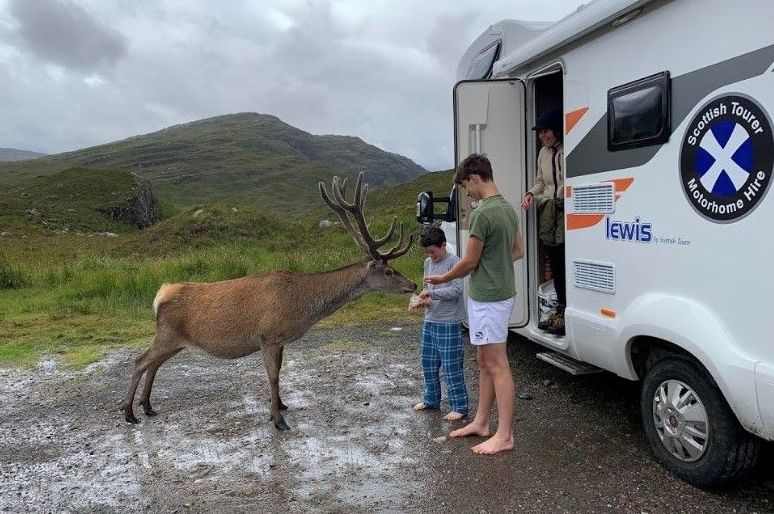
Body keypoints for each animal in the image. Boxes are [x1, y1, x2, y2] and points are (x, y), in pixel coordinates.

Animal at [119, 172, 418, 428]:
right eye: (389, 271)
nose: (413, 284)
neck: (301, 306)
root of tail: (161, 295)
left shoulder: (280, 340)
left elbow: (280, 373)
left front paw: (282, 406)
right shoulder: (268, 335)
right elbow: (273, 376)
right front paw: (278, 419)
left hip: (175, 340)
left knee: (154, 363)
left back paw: (147, 406)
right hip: (167, 334)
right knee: (140, 361)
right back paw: (129, 412)